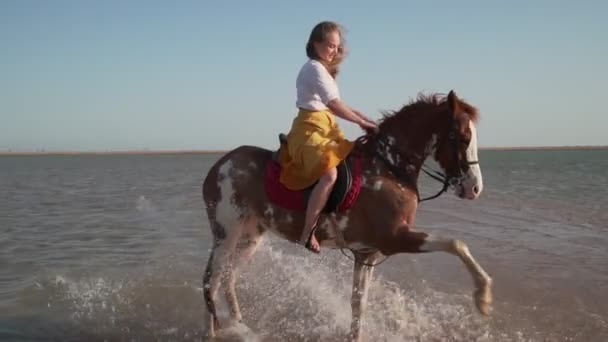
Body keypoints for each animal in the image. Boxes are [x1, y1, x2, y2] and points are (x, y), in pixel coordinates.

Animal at [202, 89, 492, 340]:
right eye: (463, 136)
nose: (475, 188)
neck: (388, 167)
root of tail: (220, 165)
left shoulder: (367, 252)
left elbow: (358, 304)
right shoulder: (394, 239)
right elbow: (457, 244)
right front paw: (483, 297)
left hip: (250, 237)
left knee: (228, 279)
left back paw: (240, 326)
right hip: (226, 235)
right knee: (211, 281)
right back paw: (211, 333)